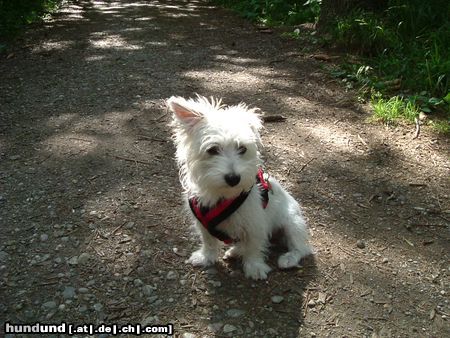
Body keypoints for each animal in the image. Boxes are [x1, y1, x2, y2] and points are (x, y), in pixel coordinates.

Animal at [167, 95, 312, 280]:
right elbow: (208, 241)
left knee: (301, 248)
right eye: (212, 149)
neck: (223, 194)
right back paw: (235, 251)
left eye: (242, 148)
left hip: (292, 223)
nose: (233, 178)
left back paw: (289, 258)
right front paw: (206, 257)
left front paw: (254, 267)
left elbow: (253, 247)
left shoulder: (255, 223)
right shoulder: (203, 223)